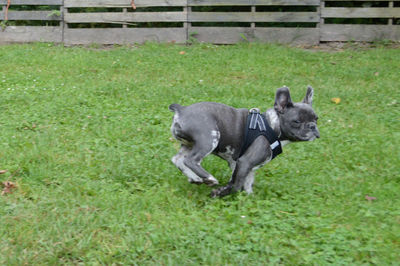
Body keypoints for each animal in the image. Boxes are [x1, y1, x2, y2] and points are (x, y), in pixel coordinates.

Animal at [169, 86, 318, 196]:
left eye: (316, 119)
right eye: (297, 121)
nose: (313, 126)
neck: (272, 126)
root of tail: (181, 110)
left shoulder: (245, 166)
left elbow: (246, 182)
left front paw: (249, 197)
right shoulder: (245, 162)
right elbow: (236, 184)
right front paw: (223, 193)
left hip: (189, 145)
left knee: (178, 159)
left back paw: (195, 178)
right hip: (209, 138)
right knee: (191, 160)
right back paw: (209, 178)